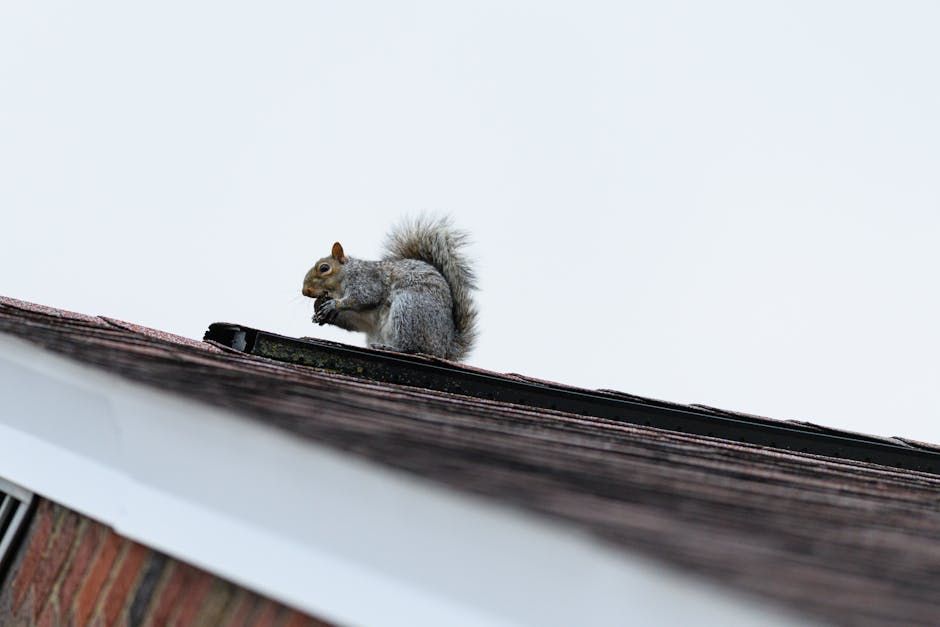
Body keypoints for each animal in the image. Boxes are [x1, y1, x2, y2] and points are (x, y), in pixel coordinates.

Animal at [301, 216, 478, 361]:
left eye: (324, 268)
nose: (305, 291)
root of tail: (444, 348)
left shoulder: (368, 280)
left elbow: (364, 296)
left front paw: (333, 305)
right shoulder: (362, 319)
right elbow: (354, 321)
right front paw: (321, 314)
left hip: (409, 309)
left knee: (412, 348)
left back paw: (391, 347)